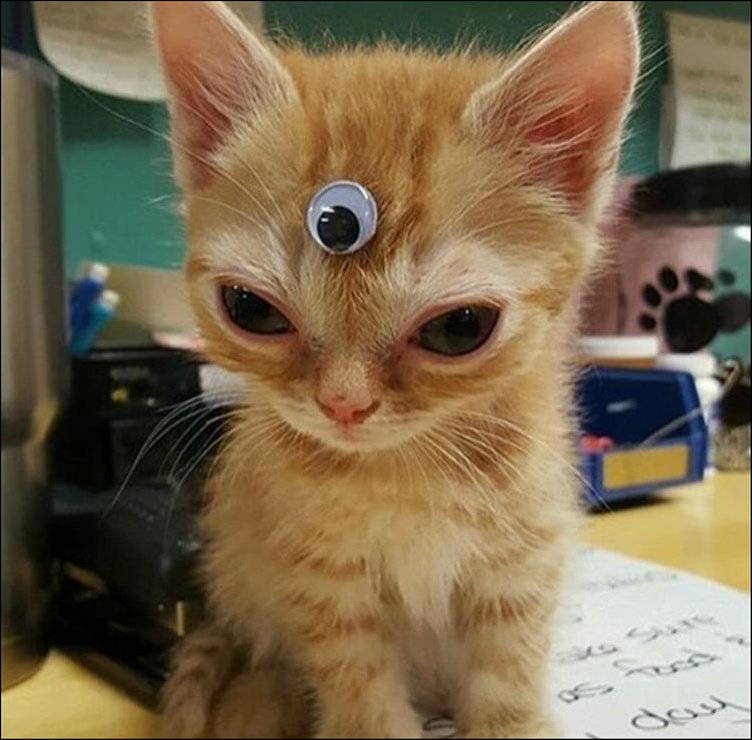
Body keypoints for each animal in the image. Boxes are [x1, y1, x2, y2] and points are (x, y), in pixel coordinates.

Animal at [151, 1, 639, 737]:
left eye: (459, 328)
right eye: (250, 309)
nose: (343, 405)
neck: (404, 472)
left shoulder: (525, 558)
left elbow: (510, 665)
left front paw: (514, 723)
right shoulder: (321, 582)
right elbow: (355, 676)